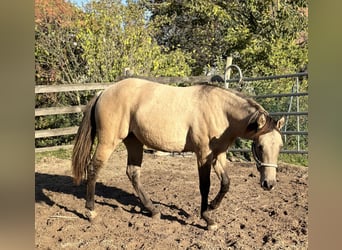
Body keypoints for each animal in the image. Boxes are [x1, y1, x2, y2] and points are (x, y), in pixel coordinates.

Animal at [72, 78, 286, 230]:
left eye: (280, 146)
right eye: (260, 146)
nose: (269, 183)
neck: (221, 111)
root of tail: (104, 92)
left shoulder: (218, 154)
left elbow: (225, 183)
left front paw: (212, 208)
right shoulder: (203, 155)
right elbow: (205, 186)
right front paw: (207, 218)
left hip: (134, 142)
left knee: (132, 173)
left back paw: (153, 210)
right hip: (108, 141)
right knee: (93, 168)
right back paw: (90, 211)